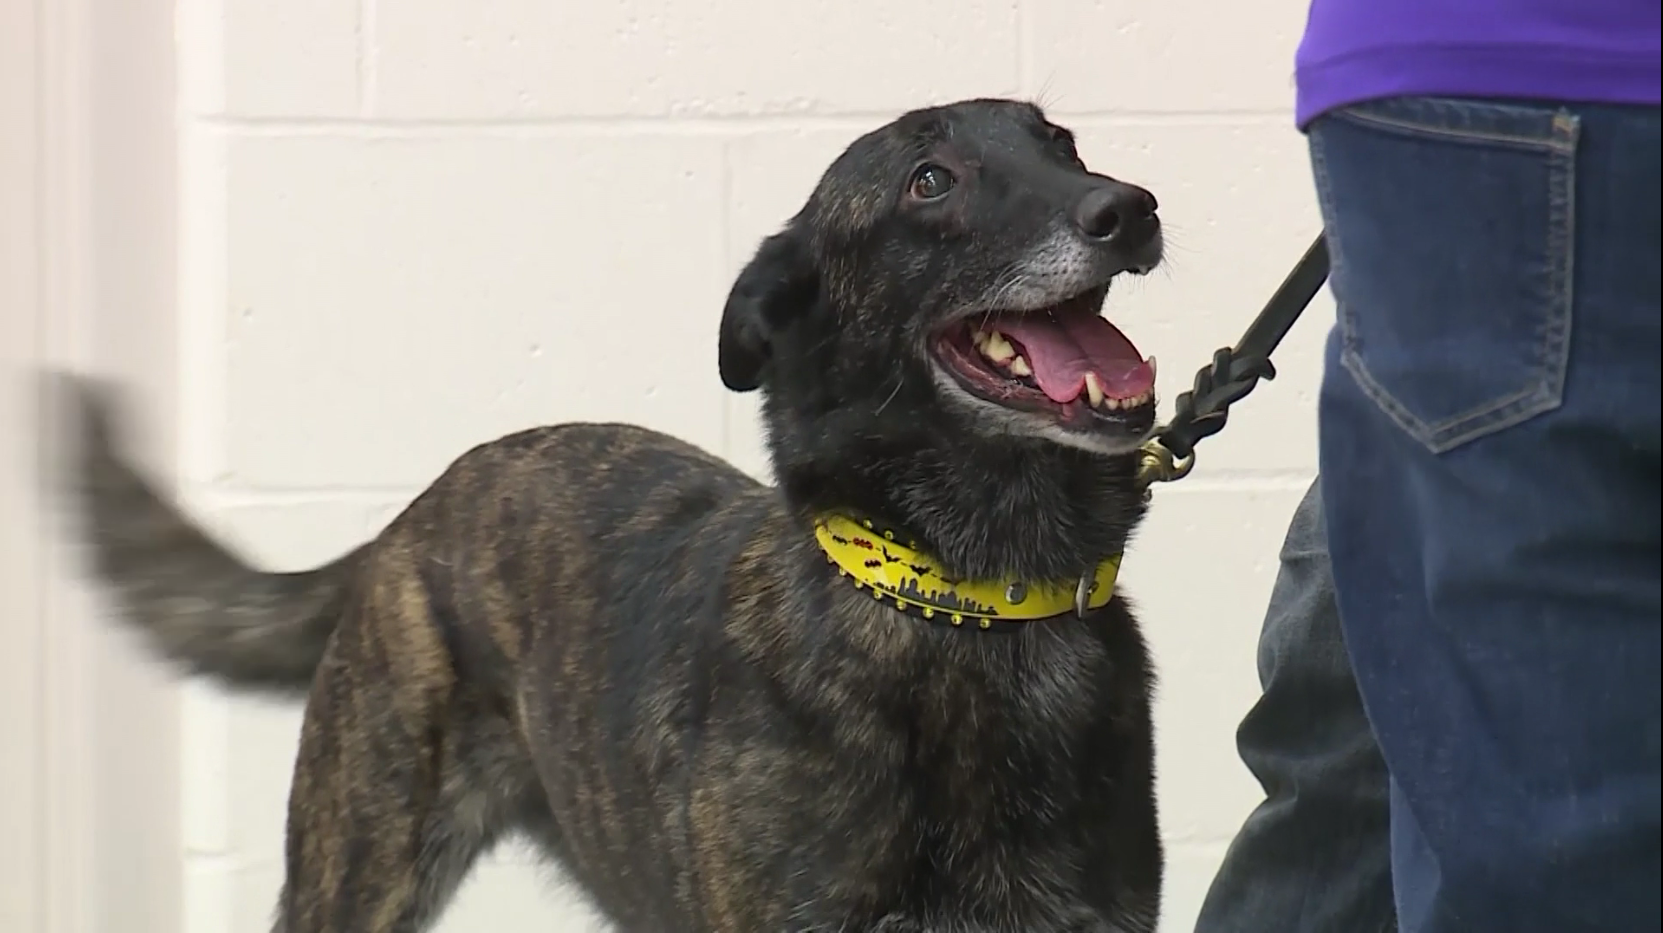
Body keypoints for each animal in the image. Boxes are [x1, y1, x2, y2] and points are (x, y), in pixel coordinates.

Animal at [51, 98, 1170, 931]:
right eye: (928, 180)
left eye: (1061, 145)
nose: (1130, 206)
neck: (973, 597)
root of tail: (415, 511)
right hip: (358, 867)